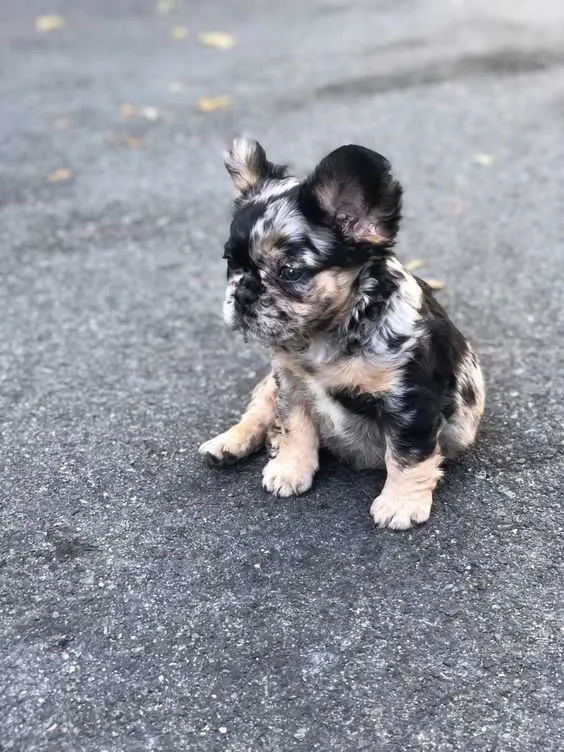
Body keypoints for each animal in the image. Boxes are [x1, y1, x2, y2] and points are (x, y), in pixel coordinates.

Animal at [198, 140, 484, 528]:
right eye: (230, 262)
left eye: (288, 272)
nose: (242, 293)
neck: (326, 335)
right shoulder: (291, 385)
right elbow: (296, 427)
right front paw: (290, 469)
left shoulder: (411, 402)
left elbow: (407, 455)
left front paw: (400, 503)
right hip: (269, 385)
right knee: (259, 412)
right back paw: (229, 444)